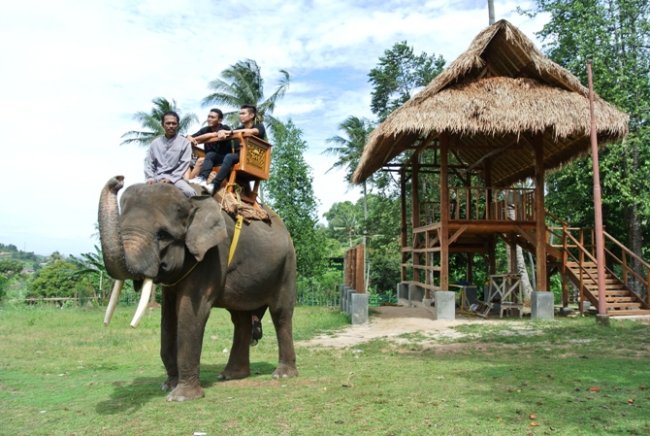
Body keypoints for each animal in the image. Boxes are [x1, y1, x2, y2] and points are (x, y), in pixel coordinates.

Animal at [98, 175, 298, 400]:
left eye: (163, 235)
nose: (118, 179)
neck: (192, 202)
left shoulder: (212, 255)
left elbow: (191, 310)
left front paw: (180, 397)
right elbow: (168, 315)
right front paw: (168, 386)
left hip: (287, 264)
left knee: (280, 312)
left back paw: (282, 374)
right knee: (240, 319)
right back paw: (231, 375)